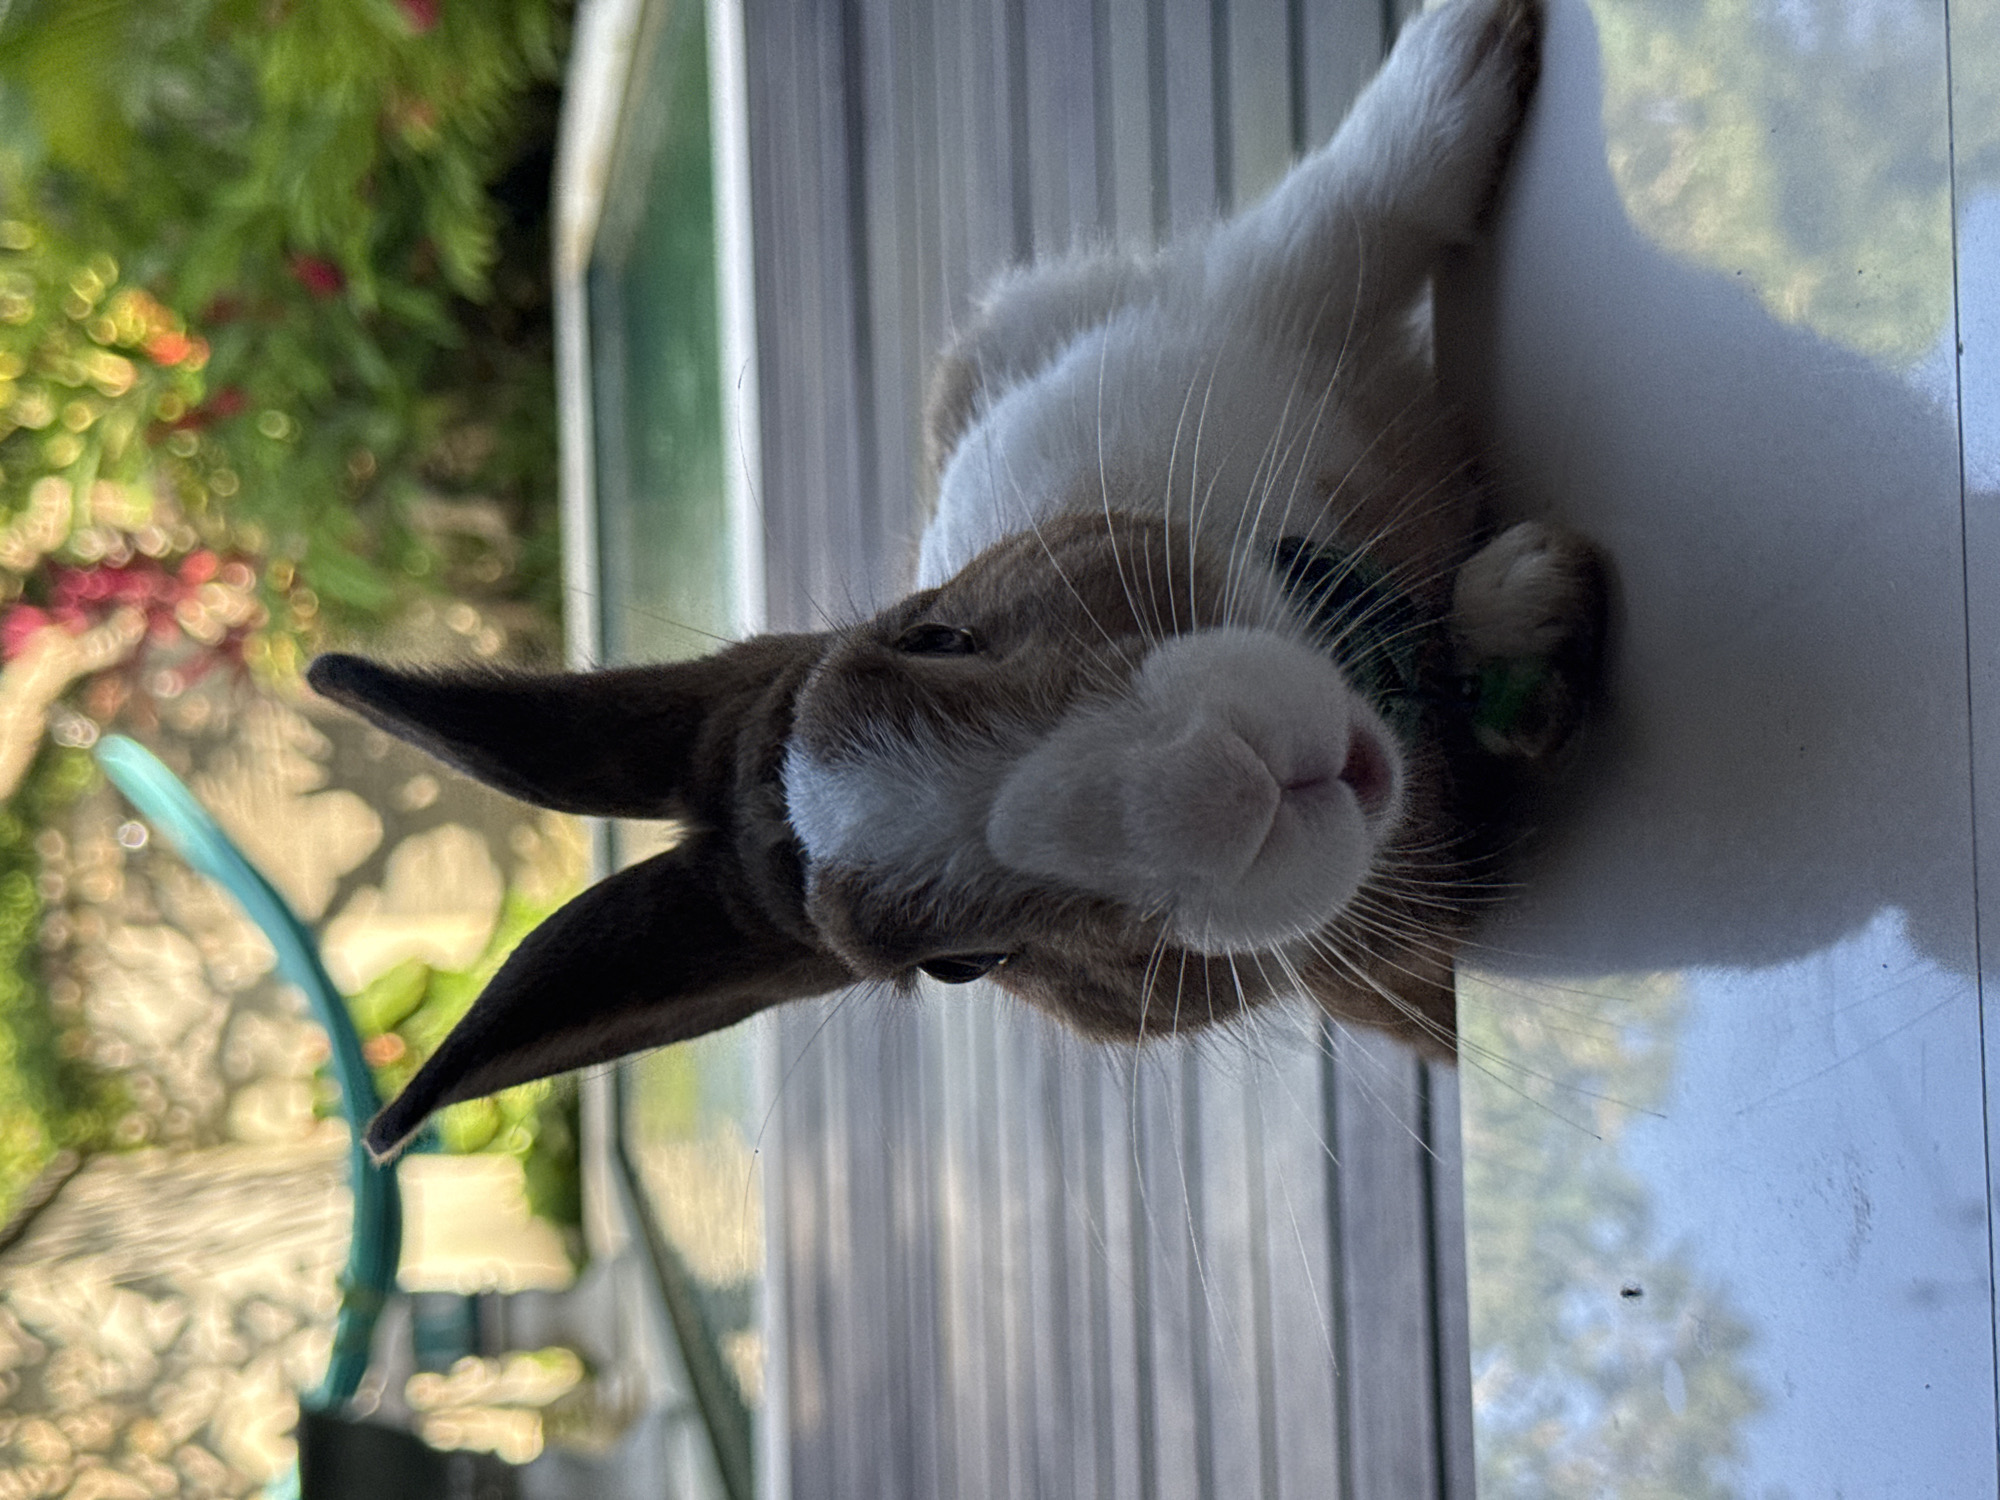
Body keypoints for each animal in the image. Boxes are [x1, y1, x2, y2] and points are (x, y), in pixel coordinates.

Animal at [309, 0, 1606, 1160]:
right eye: (965, 966)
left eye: (934, 634)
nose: (1220, 784)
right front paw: (1532, 596)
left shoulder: (1235, 305)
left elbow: (1360, 200)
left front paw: (1470, 41)